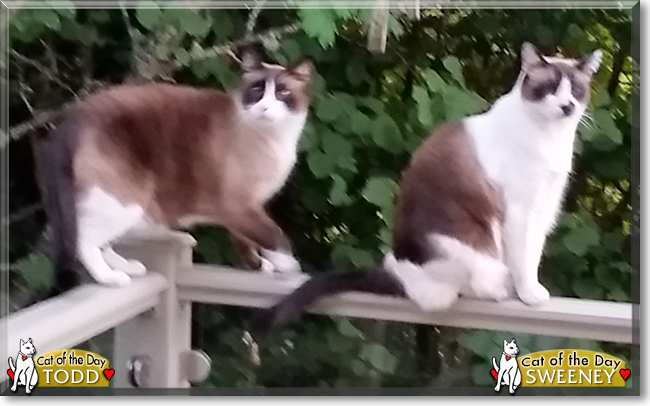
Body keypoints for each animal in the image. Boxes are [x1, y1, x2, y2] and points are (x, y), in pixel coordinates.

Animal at [36, 46, 316, 294]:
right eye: (257, 91)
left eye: (282, 93)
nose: (265, 108)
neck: (273, 138)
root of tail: (70, 121)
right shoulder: (238, 205)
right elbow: (274, 236)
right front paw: (290, 266)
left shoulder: (247, 209)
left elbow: (245, 240)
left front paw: (258, 266)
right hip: (124, 201)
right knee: (84, 240)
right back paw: (112, 278)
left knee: (97, 240)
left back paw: (129, 268)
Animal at [252, 42, 604, 340]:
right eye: (550, 88)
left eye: (575, 89)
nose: (567, 105)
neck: (551, 137)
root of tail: (396, 270)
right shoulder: (521, 211)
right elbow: (525, 259)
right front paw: (530, 294)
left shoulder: (544, 207)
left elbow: (534, 254)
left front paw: (530, 290)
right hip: (474, 247)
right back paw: (497, 289)